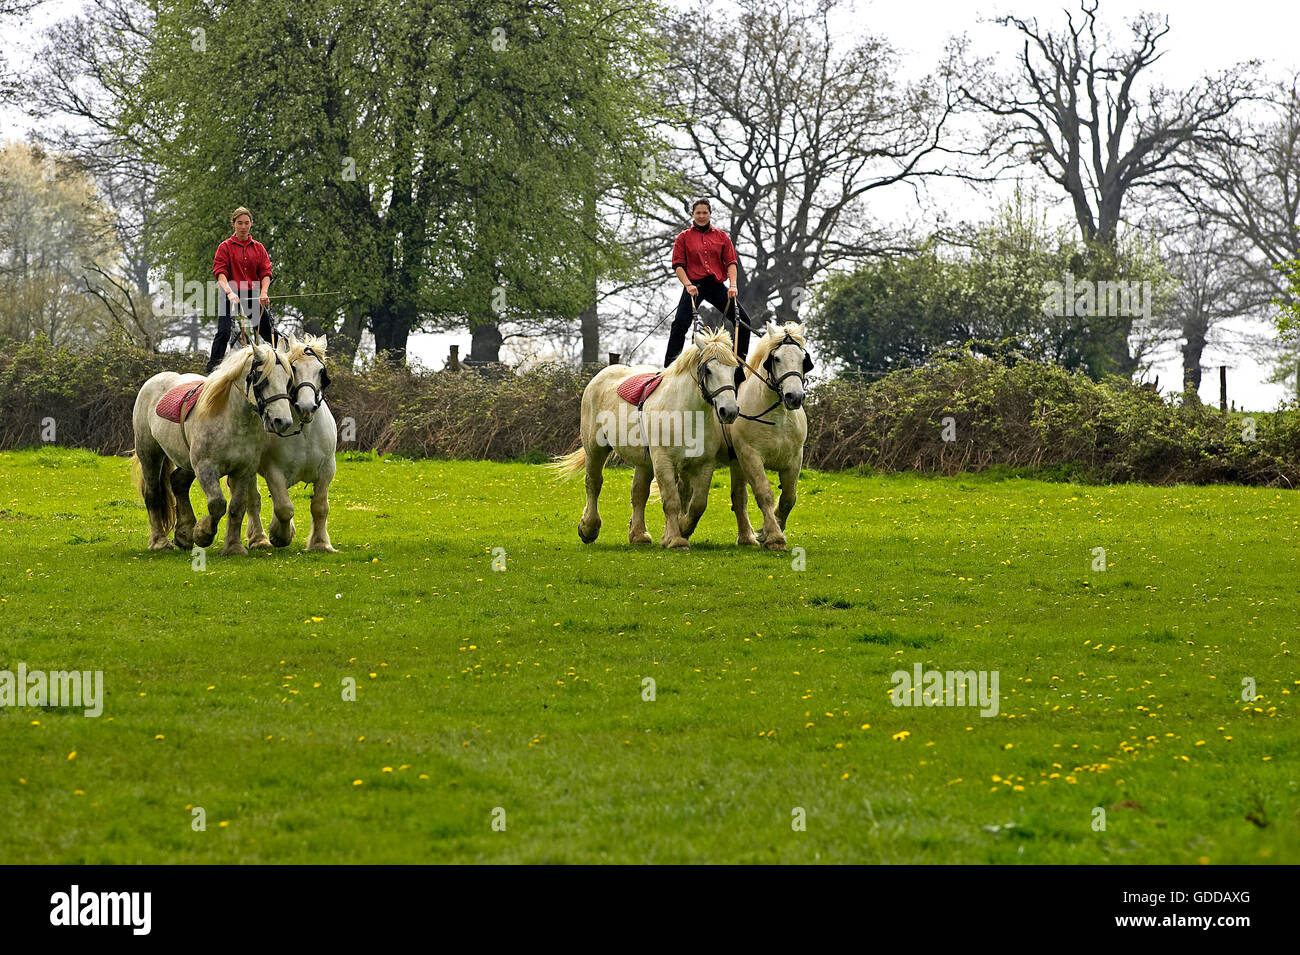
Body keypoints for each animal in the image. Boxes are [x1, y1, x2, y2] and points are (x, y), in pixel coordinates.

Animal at [131, 341, 296, 554]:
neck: (230, 421)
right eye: (263, 380)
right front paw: (203, 534)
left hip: (186, 462)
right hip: (150, 454)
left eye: (288, 380)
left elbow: (236, 508)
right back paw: (160, 542)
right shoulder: (205, 468)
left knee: (178, 483)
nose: (282, 421)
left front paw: (233, 547)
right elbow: (217, 504)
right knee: (153, 495)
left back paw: (183, 534)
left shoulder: (244, 471)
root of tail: (154, 380)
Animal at [244, 334, 339, 552]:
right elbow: (284, 507)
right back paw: (259, 538)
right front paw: (279, 535)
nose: (306, 407)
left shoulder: (327, 469)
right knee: (253, 500)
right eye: (293, 369)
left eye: (320, 371)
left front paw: (320, 543)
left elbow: (320, 507)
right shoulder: (274, 471)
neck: (305, 433)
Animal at [552, 327, 743, 549]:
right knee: (594, 483)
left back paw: (638, 535)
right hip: (596, 449)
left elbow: (697, 504)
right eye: (709, 370)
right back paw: (588, 528)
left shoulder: (703, 463)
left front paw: (681, 529)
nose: (729, 411)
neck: (684, 411)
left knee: (638, 494)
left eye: (734, 371)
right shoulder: (663, 461)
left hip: (644, 463)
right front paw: (675, 539)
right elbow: (671, 500)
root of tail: (602, 374)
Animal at [726, 321, 813, 550]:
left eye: (803, 359)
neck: (777, 417)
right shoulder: (751, 456)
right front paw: (774, 537)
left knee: (738, 497)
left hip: (737, 464)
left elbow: (789, 497)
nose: (794, 397)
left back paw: (746, 538)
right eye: (776, 358)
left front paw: (767, 532)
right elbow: (764, 493)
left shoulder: (795, 459)